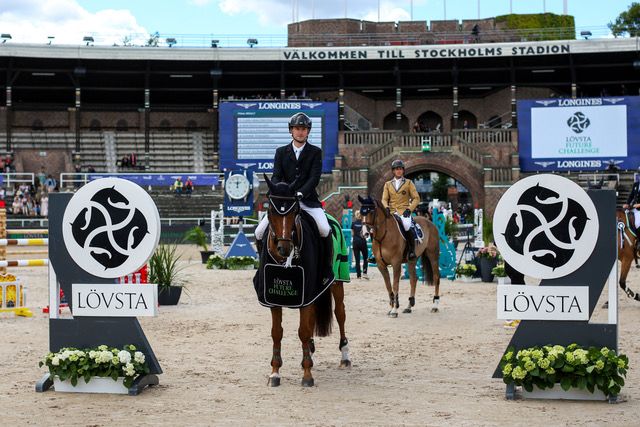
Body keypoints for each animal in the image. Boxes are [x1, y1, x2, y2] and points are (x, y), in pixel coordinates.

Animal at [260, 174, 350, 388]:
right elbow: (277, 332)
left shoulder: (305, 294)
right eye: (270, 210)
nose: (284, 248)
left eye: (295, 211)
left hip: (337, 282)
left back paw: (344, 356)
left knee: (340, 314)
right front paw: (275, 373)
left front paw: (307, 375)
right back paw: (310, 347)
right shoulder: (273, 298)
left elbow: (303, 330)